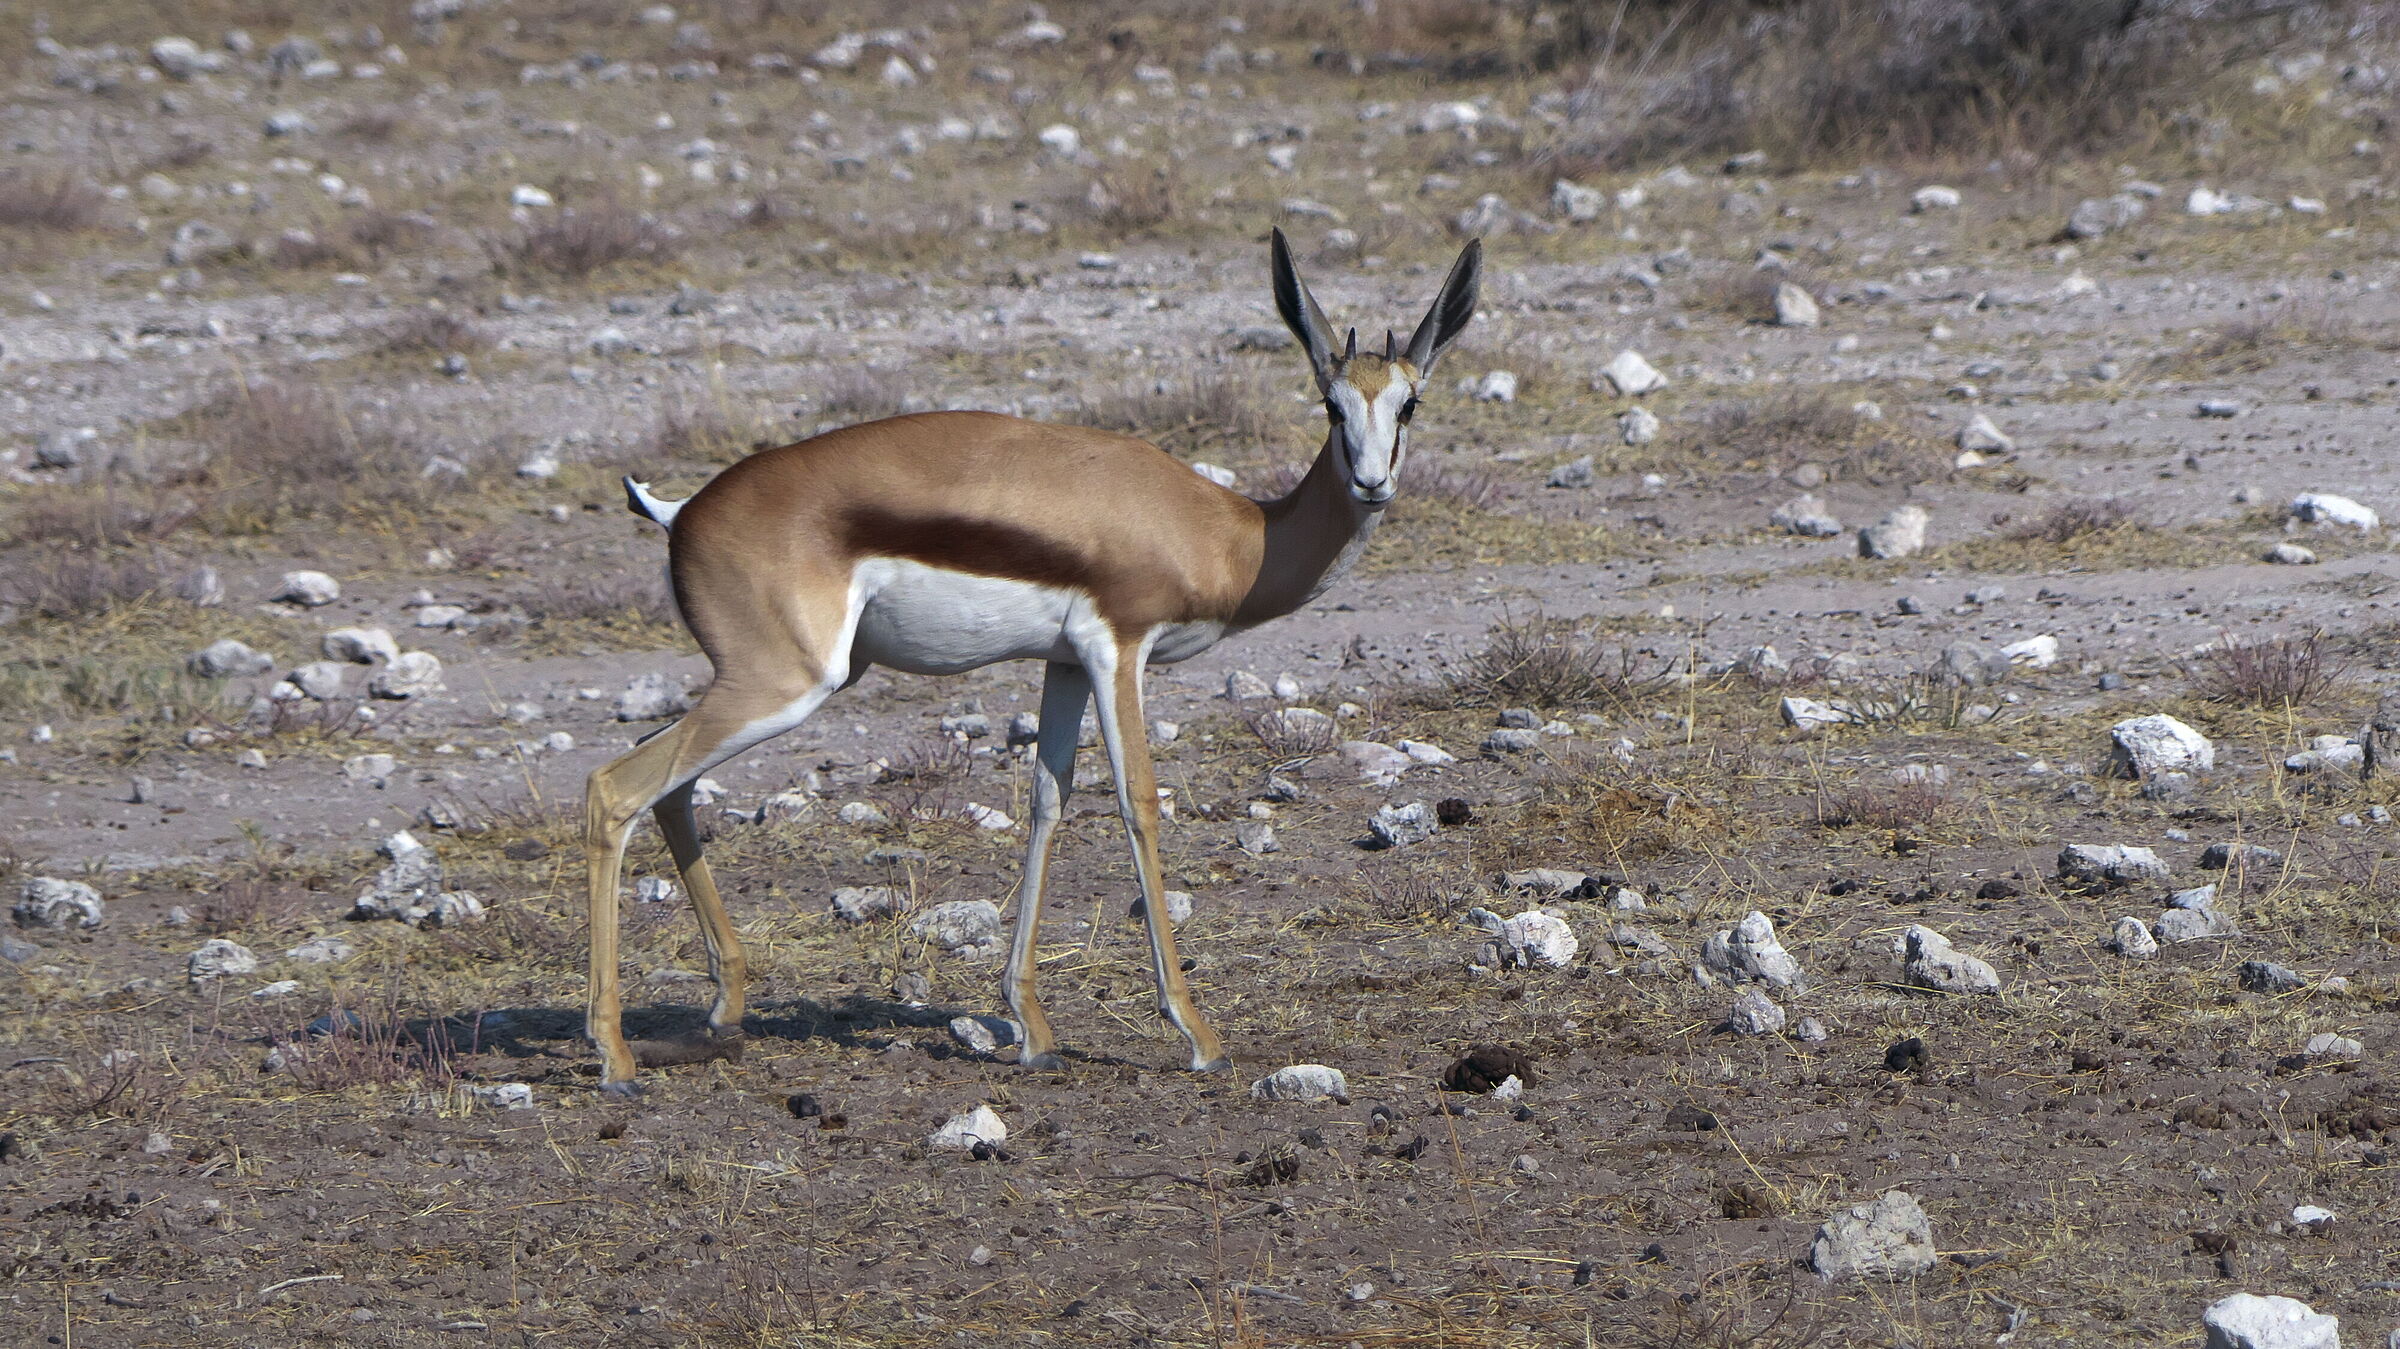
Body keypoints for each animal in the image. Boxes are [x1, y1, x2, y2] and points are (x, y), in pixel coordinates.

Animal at [585, 227, 1481, 1094]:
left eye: (1409, 402)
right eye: (1331, 405)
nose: (1371, 483)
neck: (1234, 534)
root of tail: (681, 514)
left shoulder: (1065, 663)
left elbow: (1049, 800)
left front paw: (1034, 1030)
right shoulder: (1118, 648)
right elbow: (1139, 802)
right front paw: (1198, 1035)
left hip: (772, 683)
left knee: (670, 787)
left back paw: (723, 1005)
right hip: (789, 684)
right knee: (615, 787)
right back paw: (616, 1057)